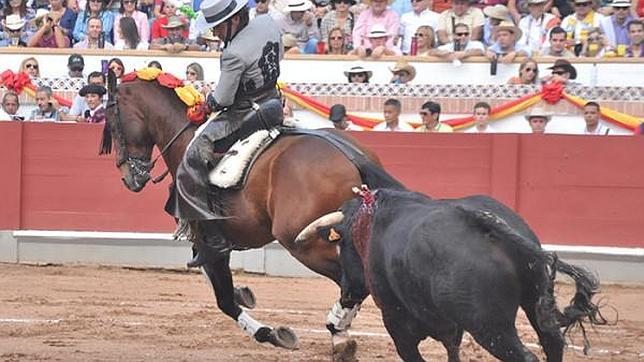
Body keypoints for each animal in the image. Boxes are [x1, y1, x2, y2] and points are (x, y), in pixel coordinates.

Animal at [99, 70, 402, 360]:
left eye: (112, 122)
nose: (129, 177)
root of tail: (352, 156)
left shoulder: (210, 243)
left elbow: (223, 299)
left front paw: (271, 333)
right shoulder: (205, 244)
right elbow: (214, 282)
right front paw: (245, 295)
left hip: (303, 243)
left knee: (355, 282)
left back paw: (339, 334)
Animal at [296, 188, 604, 360]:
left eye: (342, 247)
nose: (347, 291)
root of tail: (487, 225)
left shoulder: (397, 323)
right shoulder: (451, 327)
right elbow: (452, 350)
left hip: (490, 327)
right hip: (531, 303)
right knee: (552, 342)